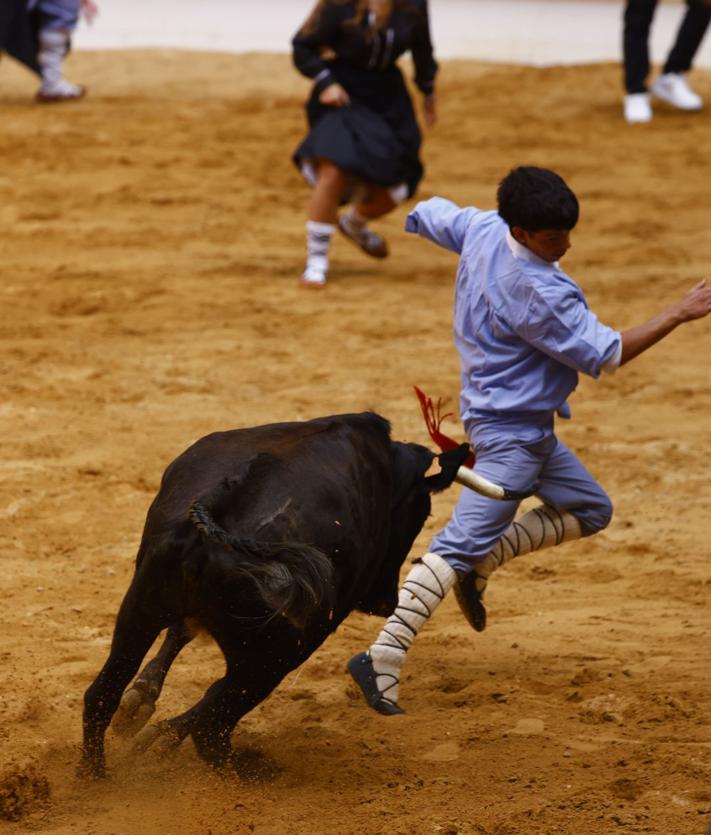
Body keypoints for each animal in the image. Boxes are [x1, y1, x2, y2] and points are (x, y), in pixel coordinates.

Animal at [80, 412, 470, 776]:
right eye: (420, 514)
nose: (386, 601)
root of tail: (217, 509)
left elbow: (181, 634)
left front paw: (141, 708)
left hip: (141, 608)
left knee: (104, 694)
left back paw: (94, 776)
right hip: (276, 654)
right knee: (212, 724)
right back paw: (246, 777)